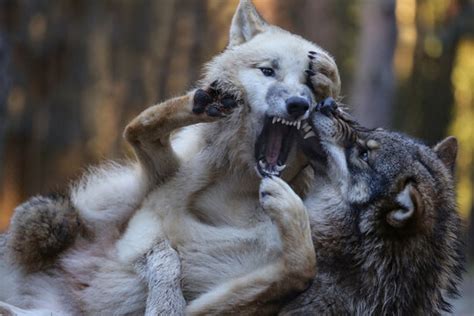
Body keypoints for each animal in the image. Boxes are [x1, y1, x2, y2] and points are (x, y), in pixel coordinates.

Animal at [0, 1, 340, 314]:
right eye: (268, 71)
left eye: (307, 85)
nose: (299, 104)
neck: (241, 193)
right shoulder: (143, 226)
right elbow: (165, 257)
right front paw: (165, 302)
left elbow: (302, 268)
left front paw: (329, 77)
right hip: (75, 210)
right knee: (137, 129)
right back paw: (203, 101)